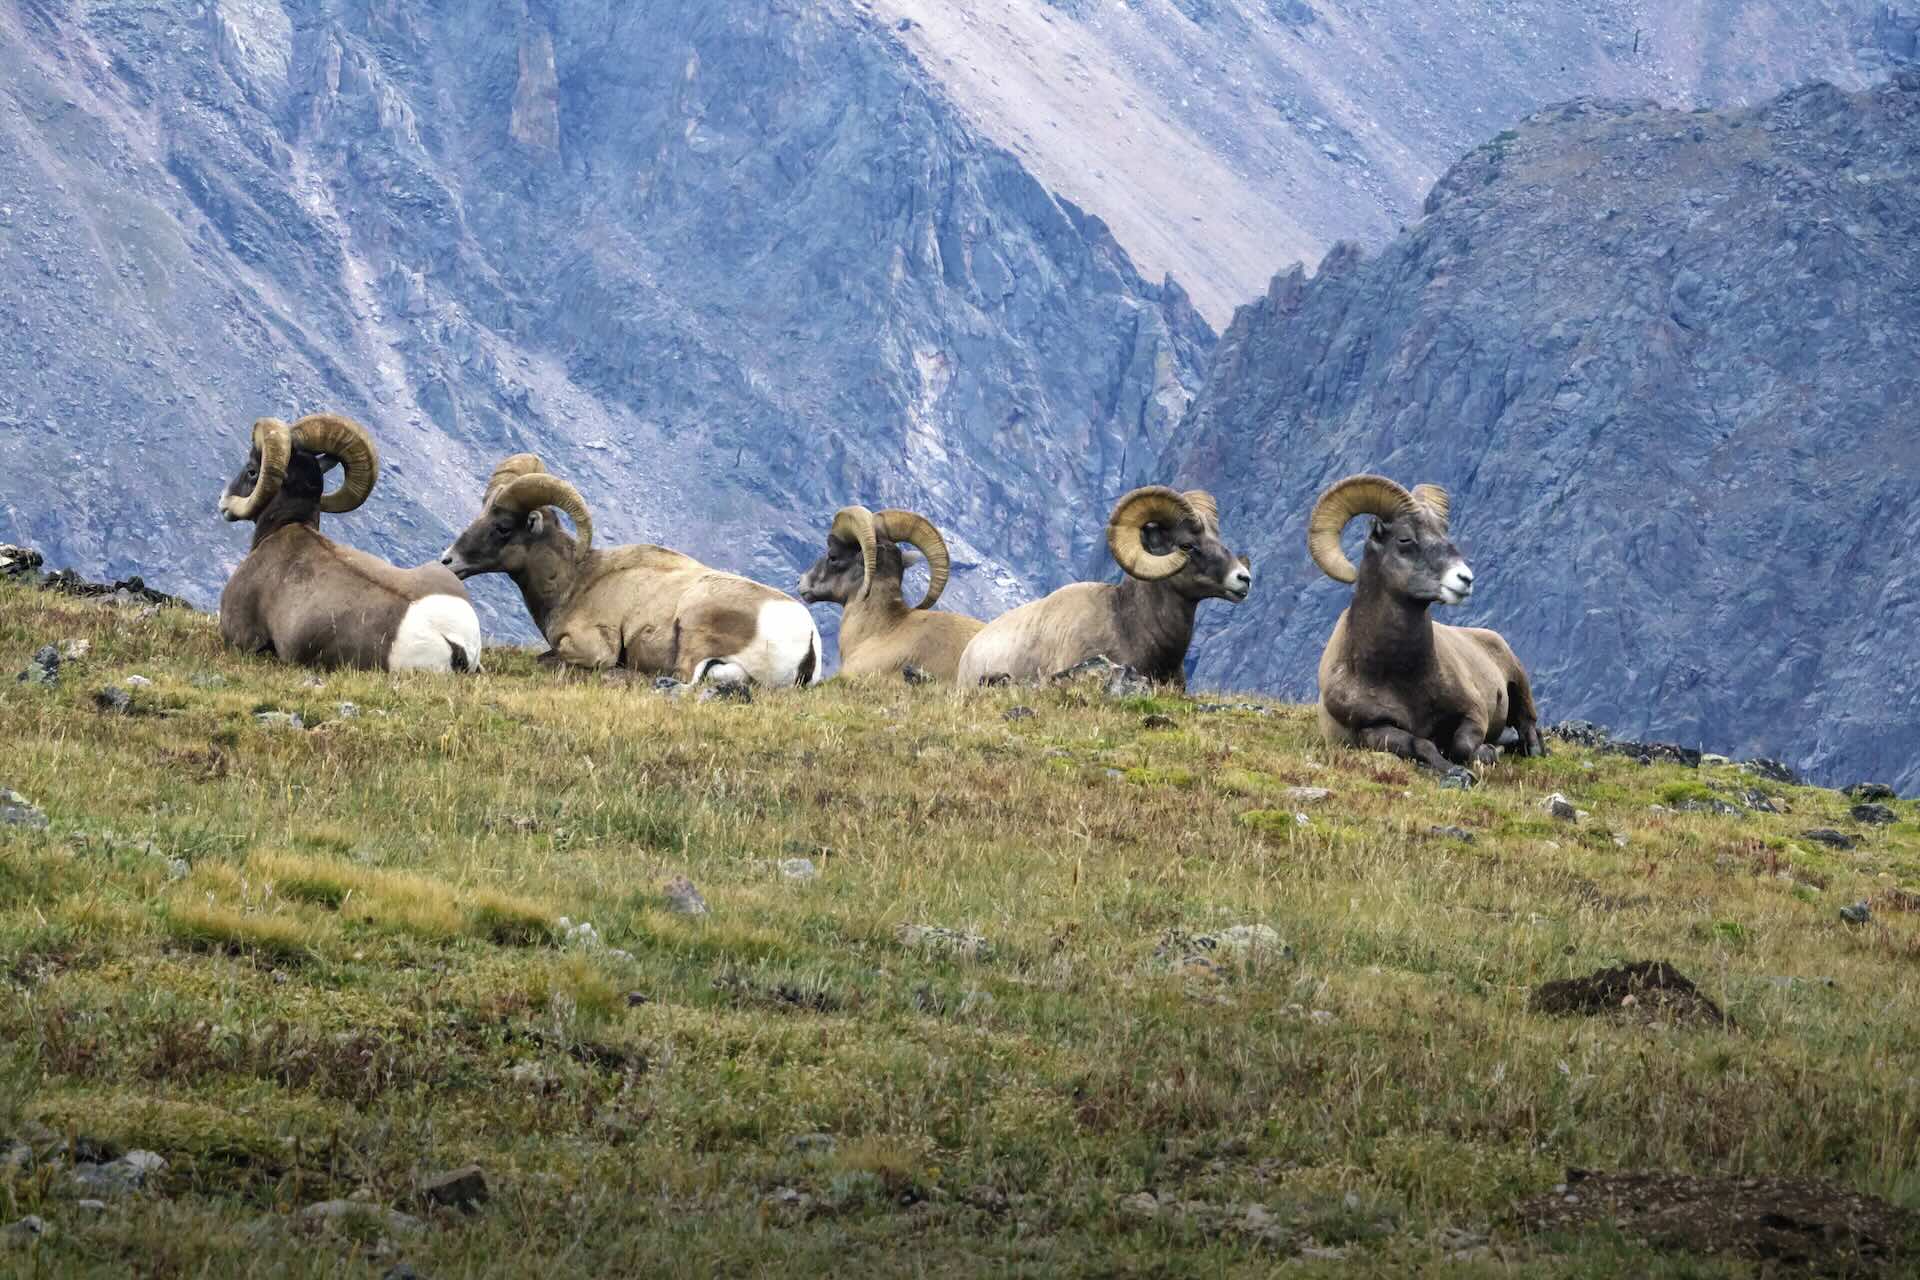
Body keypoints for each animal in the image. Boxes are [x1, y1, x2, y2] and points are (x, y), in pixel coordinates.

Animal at [440, 454, 821, 686]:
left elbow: (547, 659)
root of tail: (806, 639)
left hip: (695, 627)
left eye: (503, 526)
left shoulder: (591, 649)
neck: (574, 583)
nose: (448, 561)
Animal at [1308, 473, 1545, 779]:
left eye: (1444, 534)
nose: (1465, 579)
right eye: (1405, 538)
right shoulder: (1373, 730)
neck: (1400, 678)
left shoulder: (1473, 712)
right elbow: (1420, 744)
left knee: (1528, 726)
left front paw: (1489, 752)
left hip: (1520, 683)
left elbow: (1462, 745)